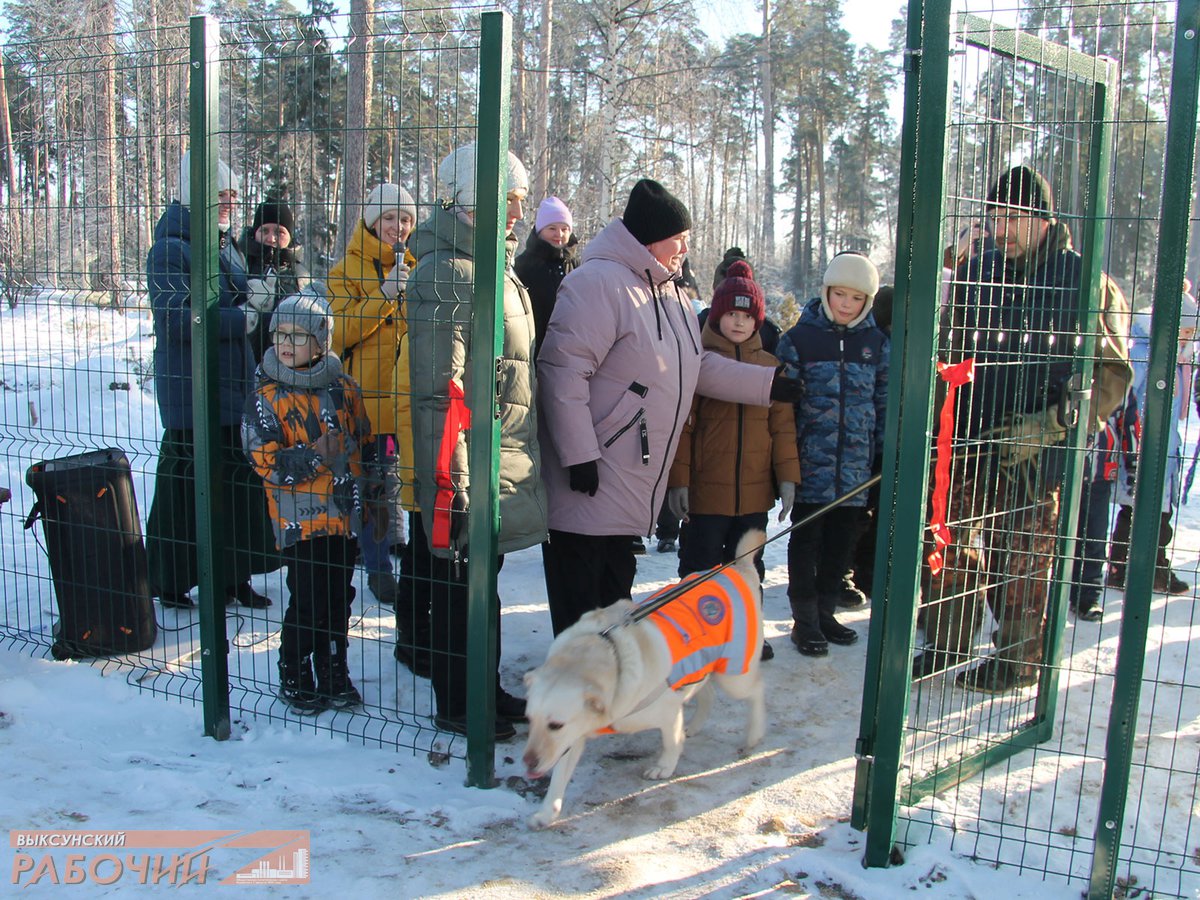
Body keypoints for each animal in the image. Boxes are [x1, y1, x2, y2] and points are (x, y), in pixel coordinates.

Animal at [520, 528, 763, 830]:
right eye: (529, 719)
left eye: (555, 725)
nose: (528, 763)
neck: (606, 651)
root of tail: (739, 567)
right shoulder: (574, 735)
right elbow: (558, 779)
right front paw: (546, 813)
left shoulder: (667, 712)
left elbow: (672, 742)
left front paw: (664, 767)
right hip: (701, 666)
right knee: (707, 693)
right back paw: (695, 726)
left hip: (734, 675)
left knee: (757, 690)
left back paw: (754, 733)